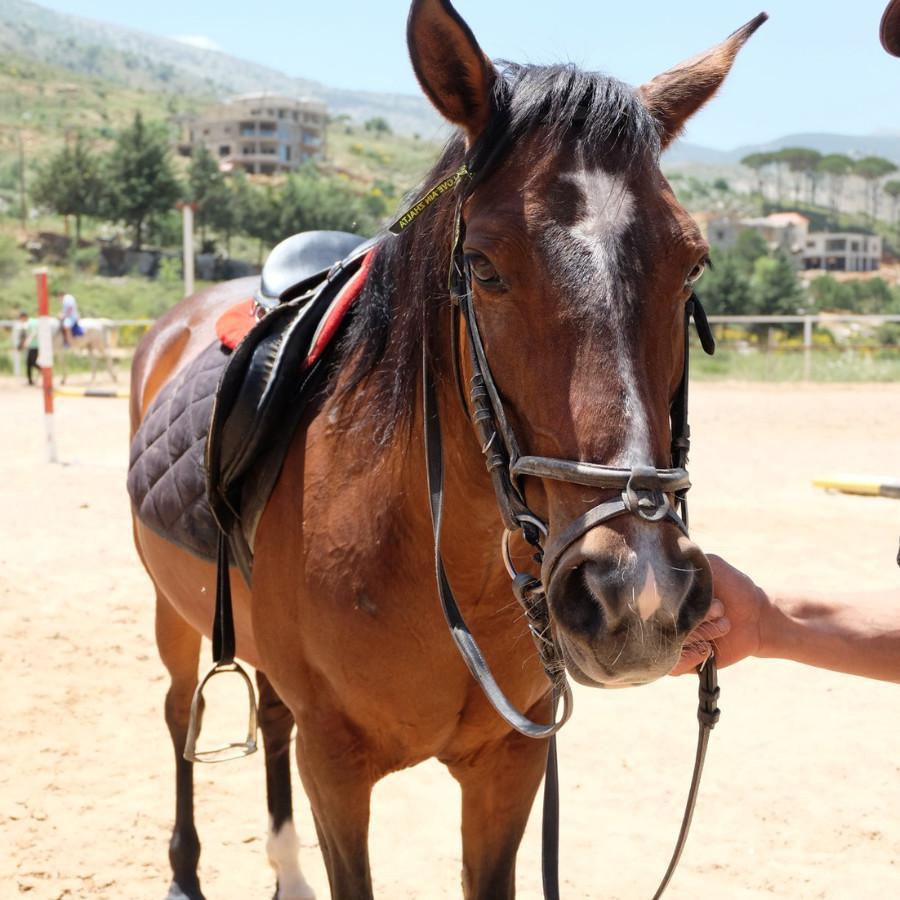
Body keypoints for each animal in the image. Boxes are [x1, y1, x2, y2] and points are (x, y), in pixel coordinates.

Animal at [132, 3, 768, 896]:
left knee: (269, 714)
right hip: (173, 616)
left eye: (693, 264)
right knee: (177, 714)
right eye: (484, 267)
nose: (637, 592)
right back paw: (185, 870)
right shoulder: (337, 769)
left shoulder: (509, 763)